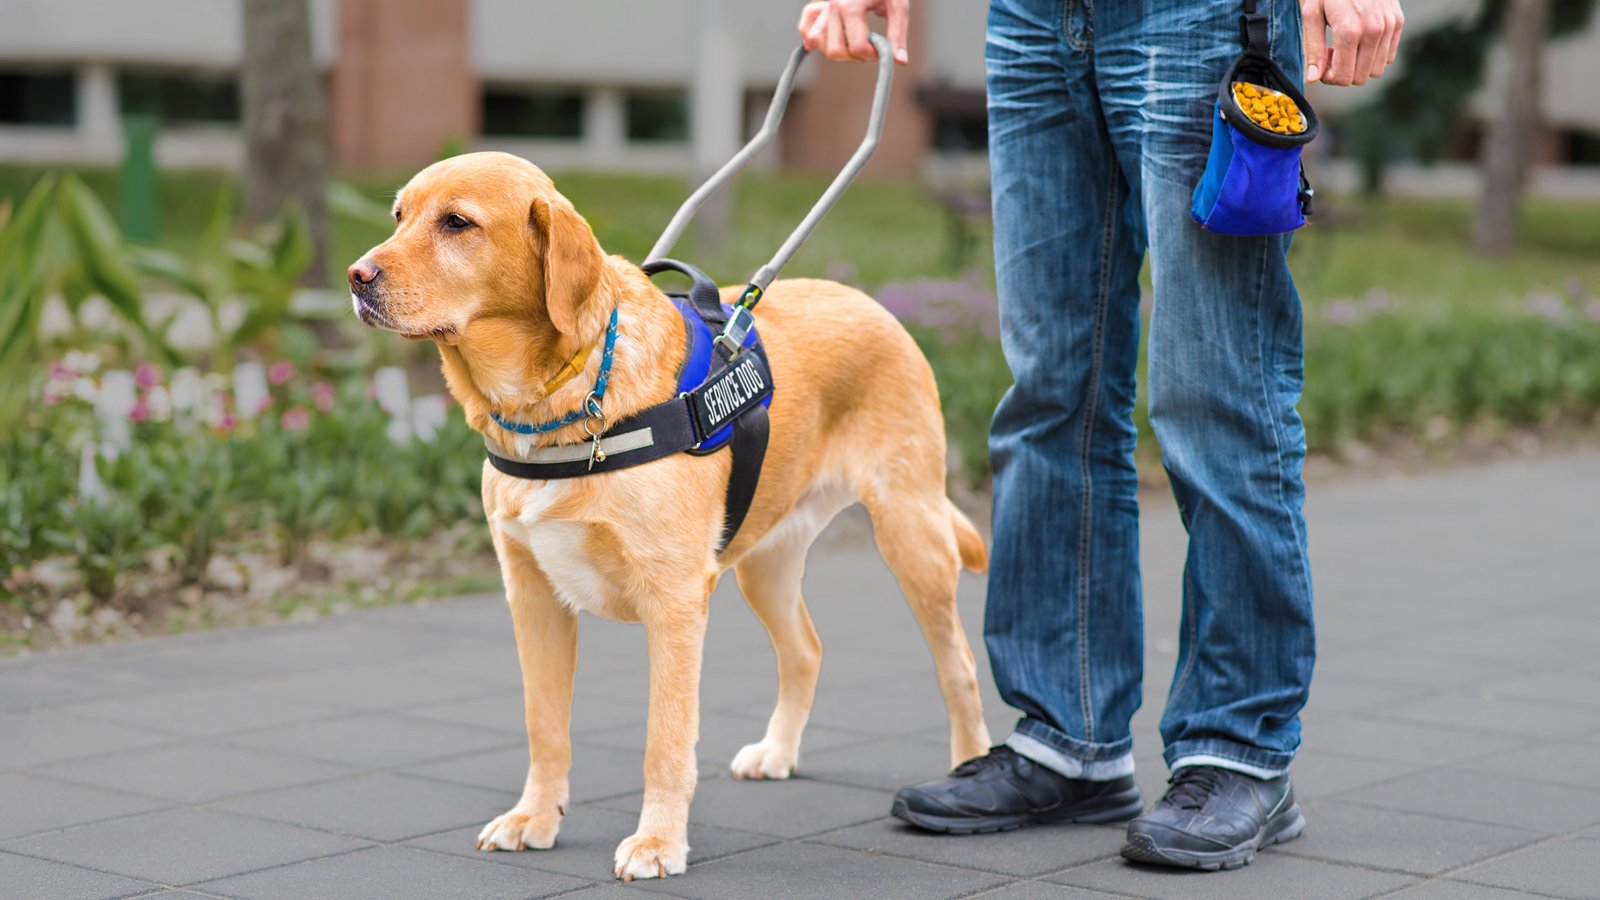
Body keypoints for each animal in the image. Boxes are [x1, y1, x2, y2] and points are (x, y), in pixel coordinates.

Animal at [349, 151, 990, 880]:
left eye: (457, 223)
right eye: (399, 216)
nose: (356, 277)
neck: (559, 402)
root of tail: (869, 300)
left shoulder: (676, 601)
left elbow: (666, 739)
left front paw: (658, 841)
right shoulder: (533, 596)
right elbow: (545, 726)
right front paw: (535, 818)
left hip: (912, 536)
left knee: (958, 665)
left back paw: (969, 771)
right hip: (764, 563)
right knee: (807, 649)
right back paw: (779, 751)